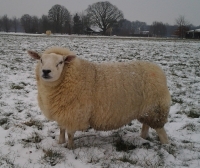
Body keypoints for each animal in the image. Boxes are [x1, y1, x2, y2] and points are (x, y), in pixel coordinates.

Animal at [27, 46, 171, 149]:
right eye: (41, 60)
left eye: (61, 62)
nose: (46, 71)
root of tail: (159, 71)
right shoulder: (63, 113)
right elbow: (61, 129)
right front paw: (60, 142)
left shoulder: (75, 114)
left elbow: (70, 133)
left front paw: (70, 147)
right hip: (147, 110)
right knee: (146, 124)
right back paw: (142, 137)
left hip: (156, 108)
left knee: (160, 130)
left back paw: (165, 146)